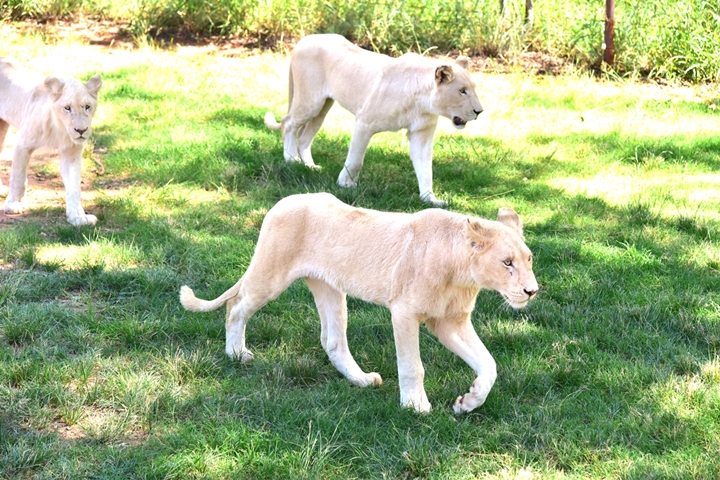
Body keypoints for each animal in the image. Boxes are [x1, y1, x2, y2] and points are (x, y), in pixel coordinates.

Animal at [0, 57, 102, 226]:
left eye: (87, 107)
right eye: (67, 108)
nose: (80, 130)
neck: (60, 128)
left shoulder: (71, 154)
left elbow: (74, 187)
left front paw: (78, 217)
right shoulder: (23, 145)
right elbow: (18, 178)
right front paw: (13, 205)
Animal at [180, 193, 538, 413]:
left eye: (529, 259)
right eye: (507, 263)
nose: (532, 291)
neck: (462, 274)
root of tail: (282, 201)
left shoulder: (450, 321)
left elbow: (489, 364)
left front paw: (469, 401)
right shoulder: (404, 313)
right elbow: (413, 366)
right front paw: (415, 406)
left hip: (329, 288)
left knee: (332, 340)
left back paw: (362, 380)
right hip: (270, 275)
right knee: (236, 306)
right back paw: (236, 353)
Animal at [264, 34, 483, 207]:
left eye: (473, 88)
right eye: (462, 91)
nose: (479, 111)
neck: (422, 101)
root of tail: (304, 39)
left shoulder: (422, 134)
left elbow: (425, 169)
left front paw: (430, 199)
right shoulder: (365, 122)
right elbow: (356, 160)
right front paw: (346, 185)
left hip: (323, 107)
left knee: (304, 137)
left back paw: (309, 166)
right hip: (311, 101)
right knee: (289, 123)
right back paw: (291, 160)